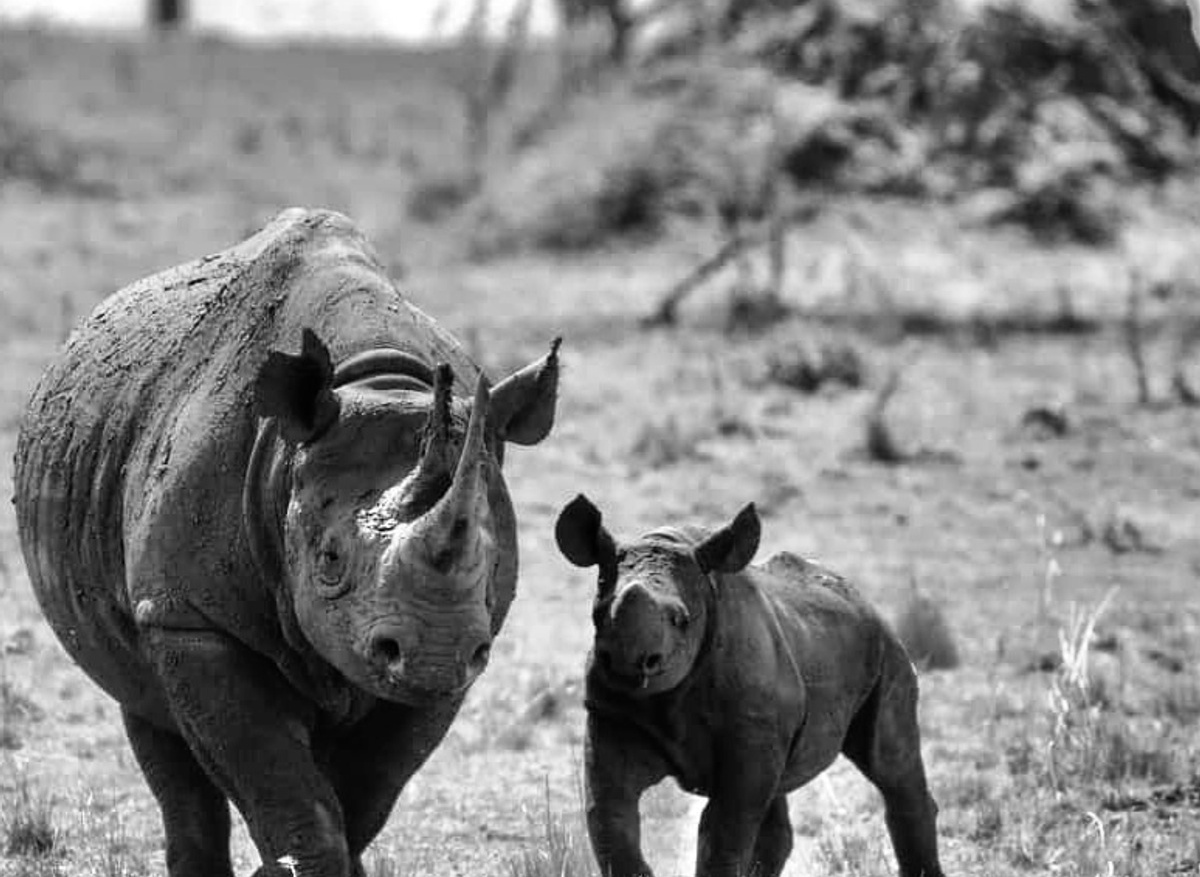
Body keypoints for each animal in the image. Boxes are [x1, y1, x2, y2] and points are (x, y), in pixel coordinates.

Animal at [13, 208, 560, 877]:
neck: (378, 382)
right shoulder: (189, 618)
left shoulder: (461, 648)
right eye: (329, 561)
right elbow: (281, 784)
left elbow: (366, 791)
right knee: (150, 715)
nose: (431, 653)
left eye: (494, 561)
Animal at [555, 495, 945, 877]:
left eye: (681, 619)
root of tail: (863, 599)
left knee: (890, 765)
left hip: (885, 649)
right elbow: (611, 816)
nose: (626, 664)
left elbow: (725, 832)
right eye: (598, 615)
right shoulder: (613, 715)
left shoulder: (749, 726)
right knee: (777, 800)